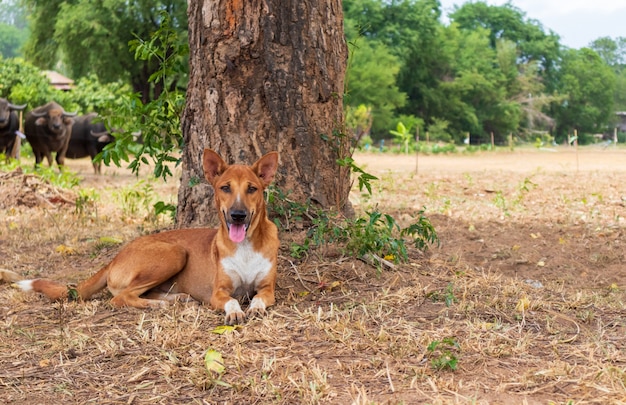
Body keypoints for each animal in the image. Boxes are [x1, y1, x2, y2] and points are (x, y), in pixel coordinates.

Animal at [15, 149, 280, 326]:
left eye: (252, 189)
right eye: (225, 188)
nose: (238, 215)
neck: (244, 246)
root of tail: (114, 258)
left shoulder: (267, 289)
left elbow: (259, 298)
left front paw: (255, 308)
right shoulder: (218, 293)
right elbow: (232, 301)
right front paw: (234, 311)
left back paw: (177, 299)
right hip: (174, 253)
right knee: (122, 297)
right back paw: (161, 304)